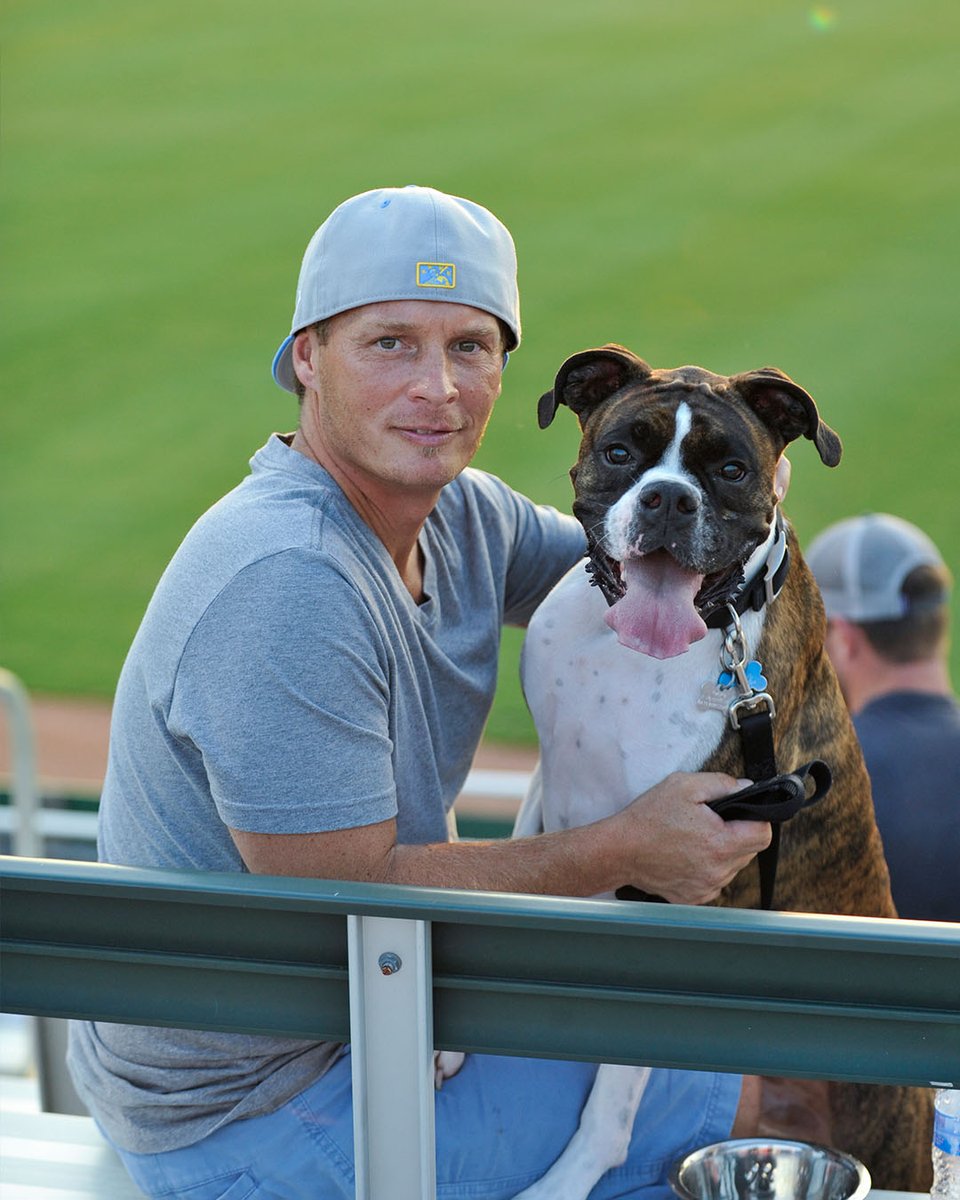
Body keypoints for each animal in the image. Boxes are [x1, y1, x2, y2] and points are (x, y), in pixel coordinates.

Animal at [513, 343, 936, 1195]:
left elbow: (611, 1099)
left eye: (733, 470)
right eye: (622, 453)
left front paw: (566, 1179)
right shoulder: (547, 785)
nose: (670, 499)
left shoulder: (670, 886)